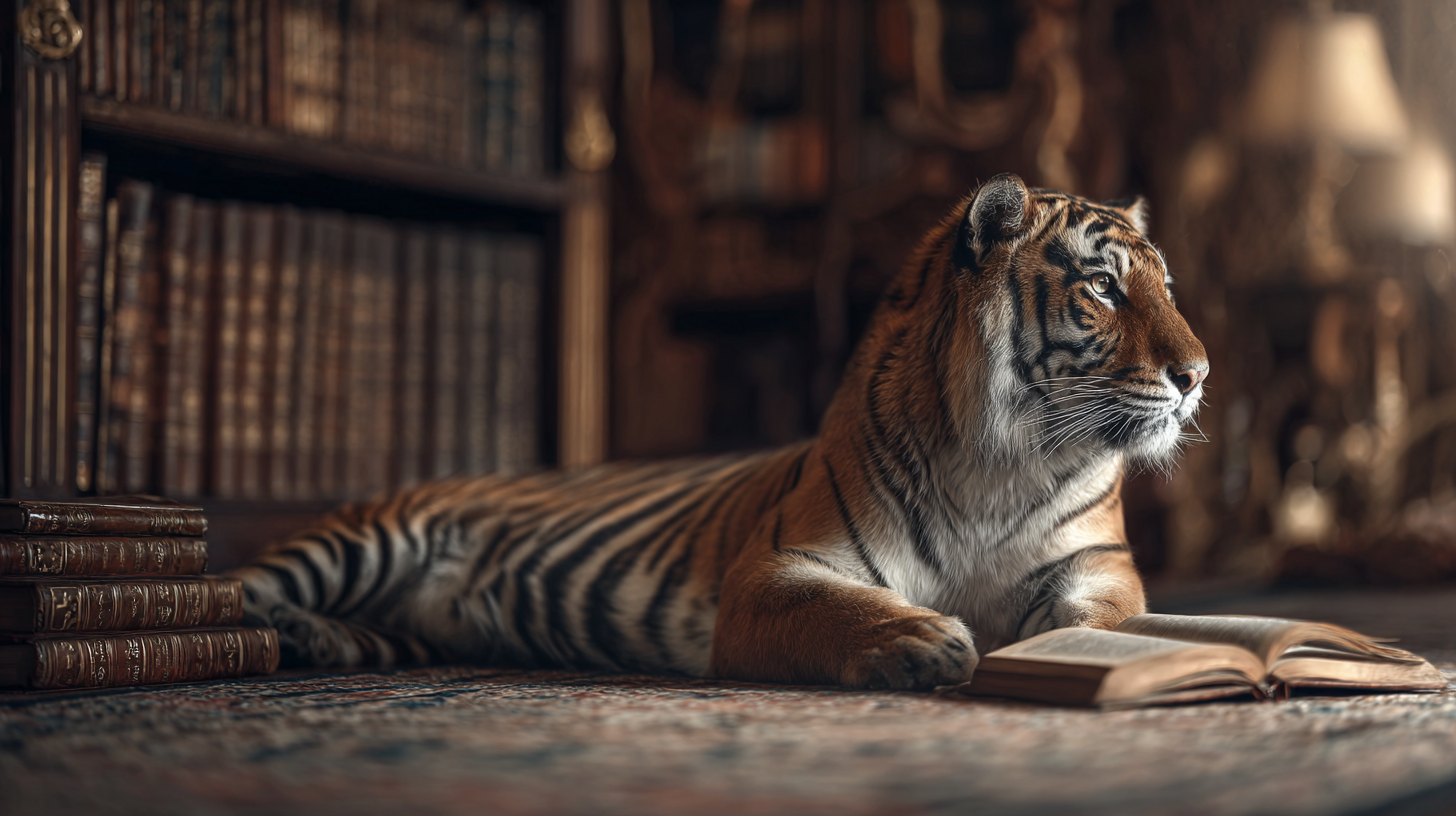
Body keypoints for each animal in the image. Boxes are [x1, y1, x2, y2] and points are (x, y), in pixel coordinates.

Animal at [231, 173, 1208, 689]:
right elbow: (841, 608)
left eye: (1166, 287)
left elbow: (1100, 617)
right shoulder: (779, 571)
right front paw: (922, 641)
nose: (1198, 375)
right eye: (1105, 288)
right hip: (367, 539)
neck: (1000, 462)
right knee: (241, 583)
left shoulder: (1095, 566)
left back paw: (316, 642)